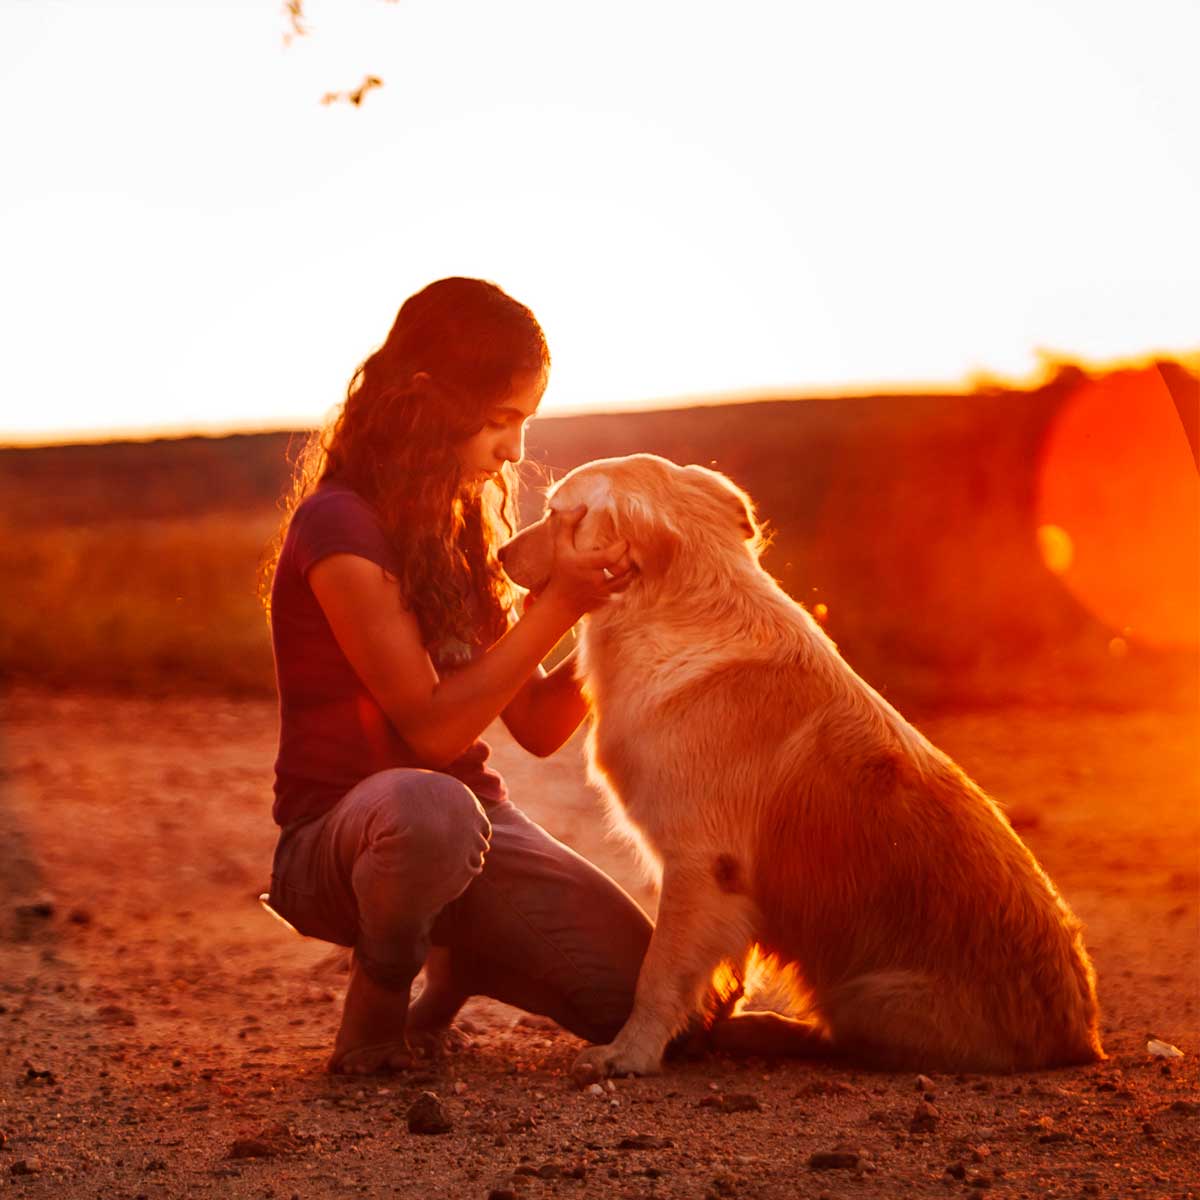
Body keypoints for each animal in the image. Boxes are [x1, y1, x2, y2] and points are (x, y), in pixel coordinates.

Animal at [496, 453, 1104, 1084]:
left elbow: (658, 973)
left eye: (555, 513)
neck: (676, 608)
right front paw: (694, 1033)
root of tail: (1081, 1039)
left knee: (841, 1041)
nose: (500, 554)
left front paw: (629, 1053)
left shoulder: (700, 863)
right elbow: (717, 975)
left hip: (870, 995)